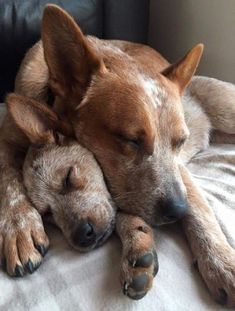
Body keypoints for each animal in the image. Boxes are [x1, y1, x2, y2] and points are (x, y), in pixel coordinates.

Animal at [1, 3, 235, 308]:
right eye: (129, 140)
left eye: (180, 142)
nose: (176, 211)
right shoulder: (7, 137)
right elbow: (8, 180)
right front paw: (19, 227)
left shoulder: (178, 174)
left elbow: (199, 211)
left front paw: (221, 262)